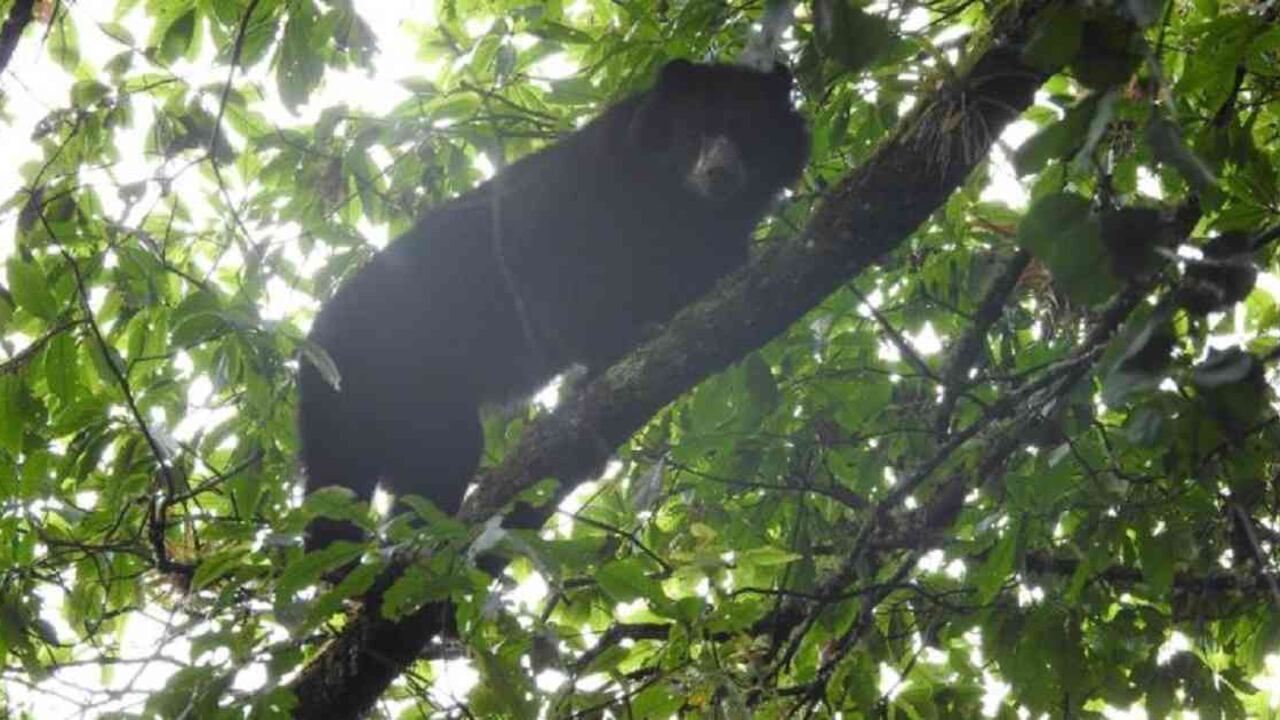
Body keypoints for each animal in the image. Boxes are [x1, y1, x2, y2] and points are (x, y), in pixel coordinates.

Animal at [298, 59, 809, 551]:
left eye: (749, 133)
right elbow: (540, 258)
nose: (718, 171)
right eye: (693, 132)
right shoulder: (576, 187)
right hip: (365, 383)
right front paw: (612, 348)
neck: (678, 203)